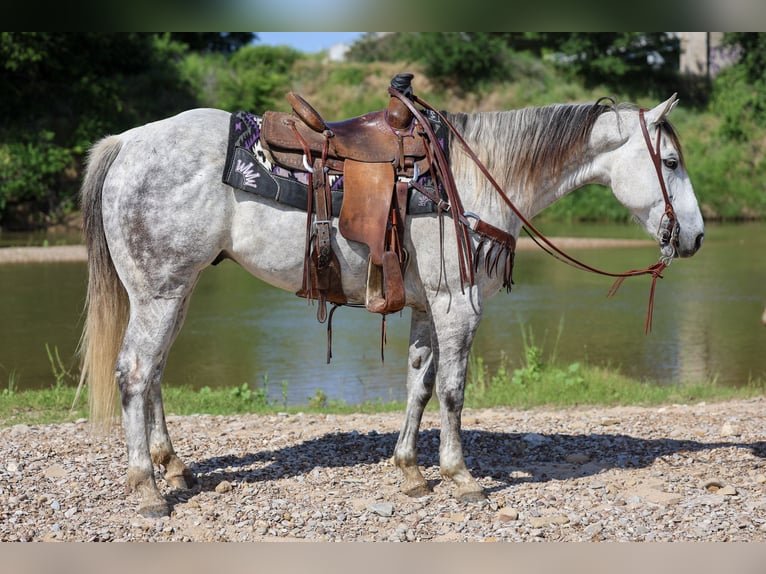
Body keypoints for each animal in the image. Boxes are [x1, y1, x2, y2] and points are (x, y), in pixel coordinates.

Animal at [78, 93, 705, 517]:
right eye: (671, 162)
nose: (696, 237)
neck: (470, 178)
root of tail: (128, 142)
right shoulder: (459, 306)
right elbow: (452, 391)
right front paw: (460, 475)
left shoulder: (430, 308)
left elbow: (419, 384)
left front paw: (410, 471)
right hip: (160, 292)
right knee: (134, 372)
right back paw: (146, 487)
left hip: (174, 293)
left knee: (155, 372)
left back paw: (175, 468)